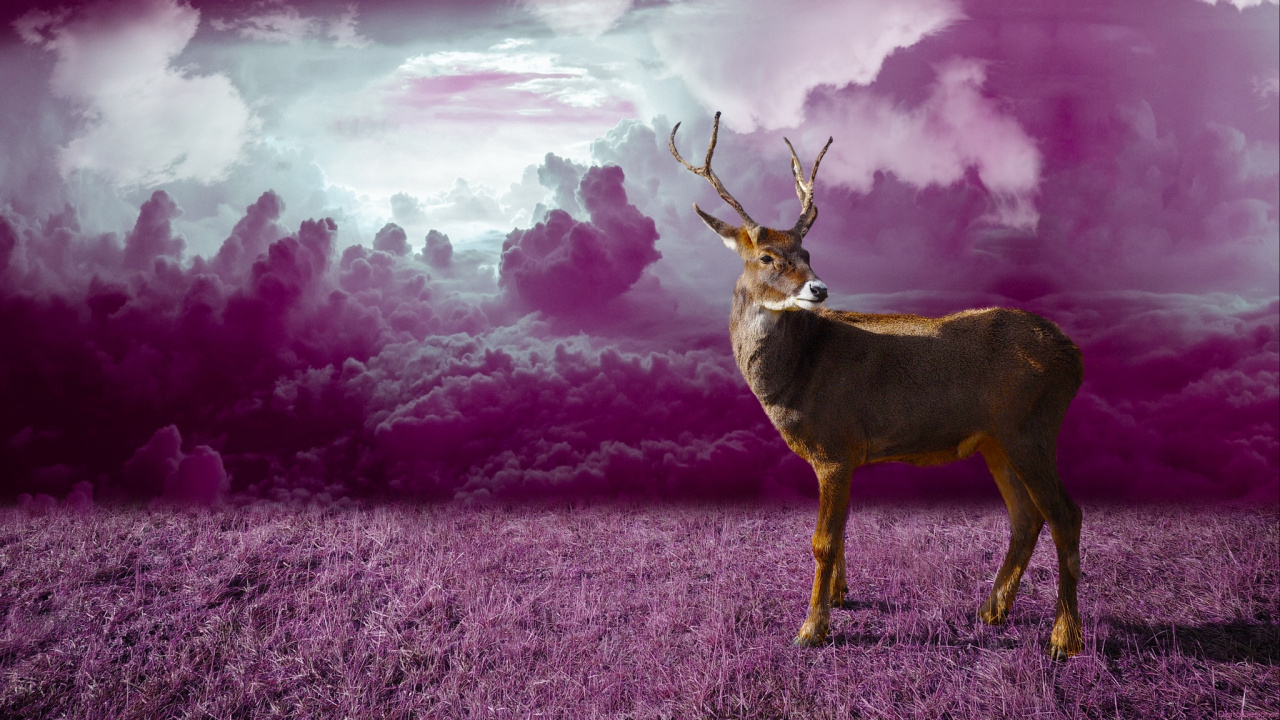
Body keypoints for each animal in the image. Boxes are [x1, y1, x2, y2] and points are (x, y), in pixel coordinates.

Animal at [670, 112, 1086, 660]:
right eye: (766, 257)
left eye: (806, 250)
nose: (819, 288)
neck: (796, 374)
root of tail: (1074, 356)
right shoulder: (843, 454)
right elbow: (841, 531)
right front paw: (840, 597)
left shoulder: (834, 444)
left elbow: (822, 540)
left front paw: (811, 629)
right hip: (997, 439)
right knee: (1026, 517)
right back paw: (991, 611)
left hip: (1031, 426)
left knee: (1065, 515)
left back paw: (1064, 637)